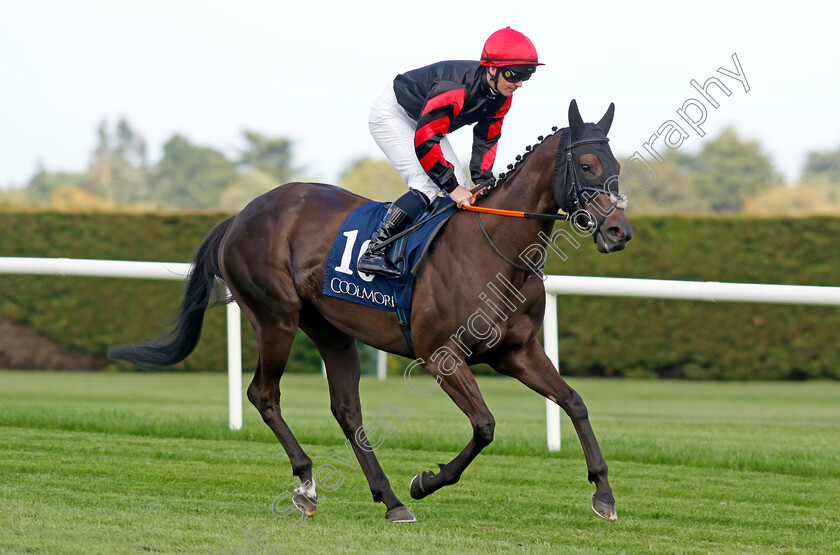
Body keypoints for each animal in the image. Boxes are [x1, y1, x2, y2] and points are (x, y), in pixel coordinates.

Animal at [113, 97, 636, 524]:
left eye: (616, 166)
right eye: (587, 164)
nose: (620, 232)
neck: (495, 249)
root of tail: (241, 215)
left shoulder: (517, 351)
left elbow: (575, 402)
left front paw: (604, 494)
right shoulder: (441, 356)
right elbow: (485, 426)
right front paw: (425, 482)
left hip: (331, 330)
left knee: (347, 411)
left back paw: (390, 500)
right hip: (276, 319)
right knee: (265, 394)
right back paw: (309, 484)